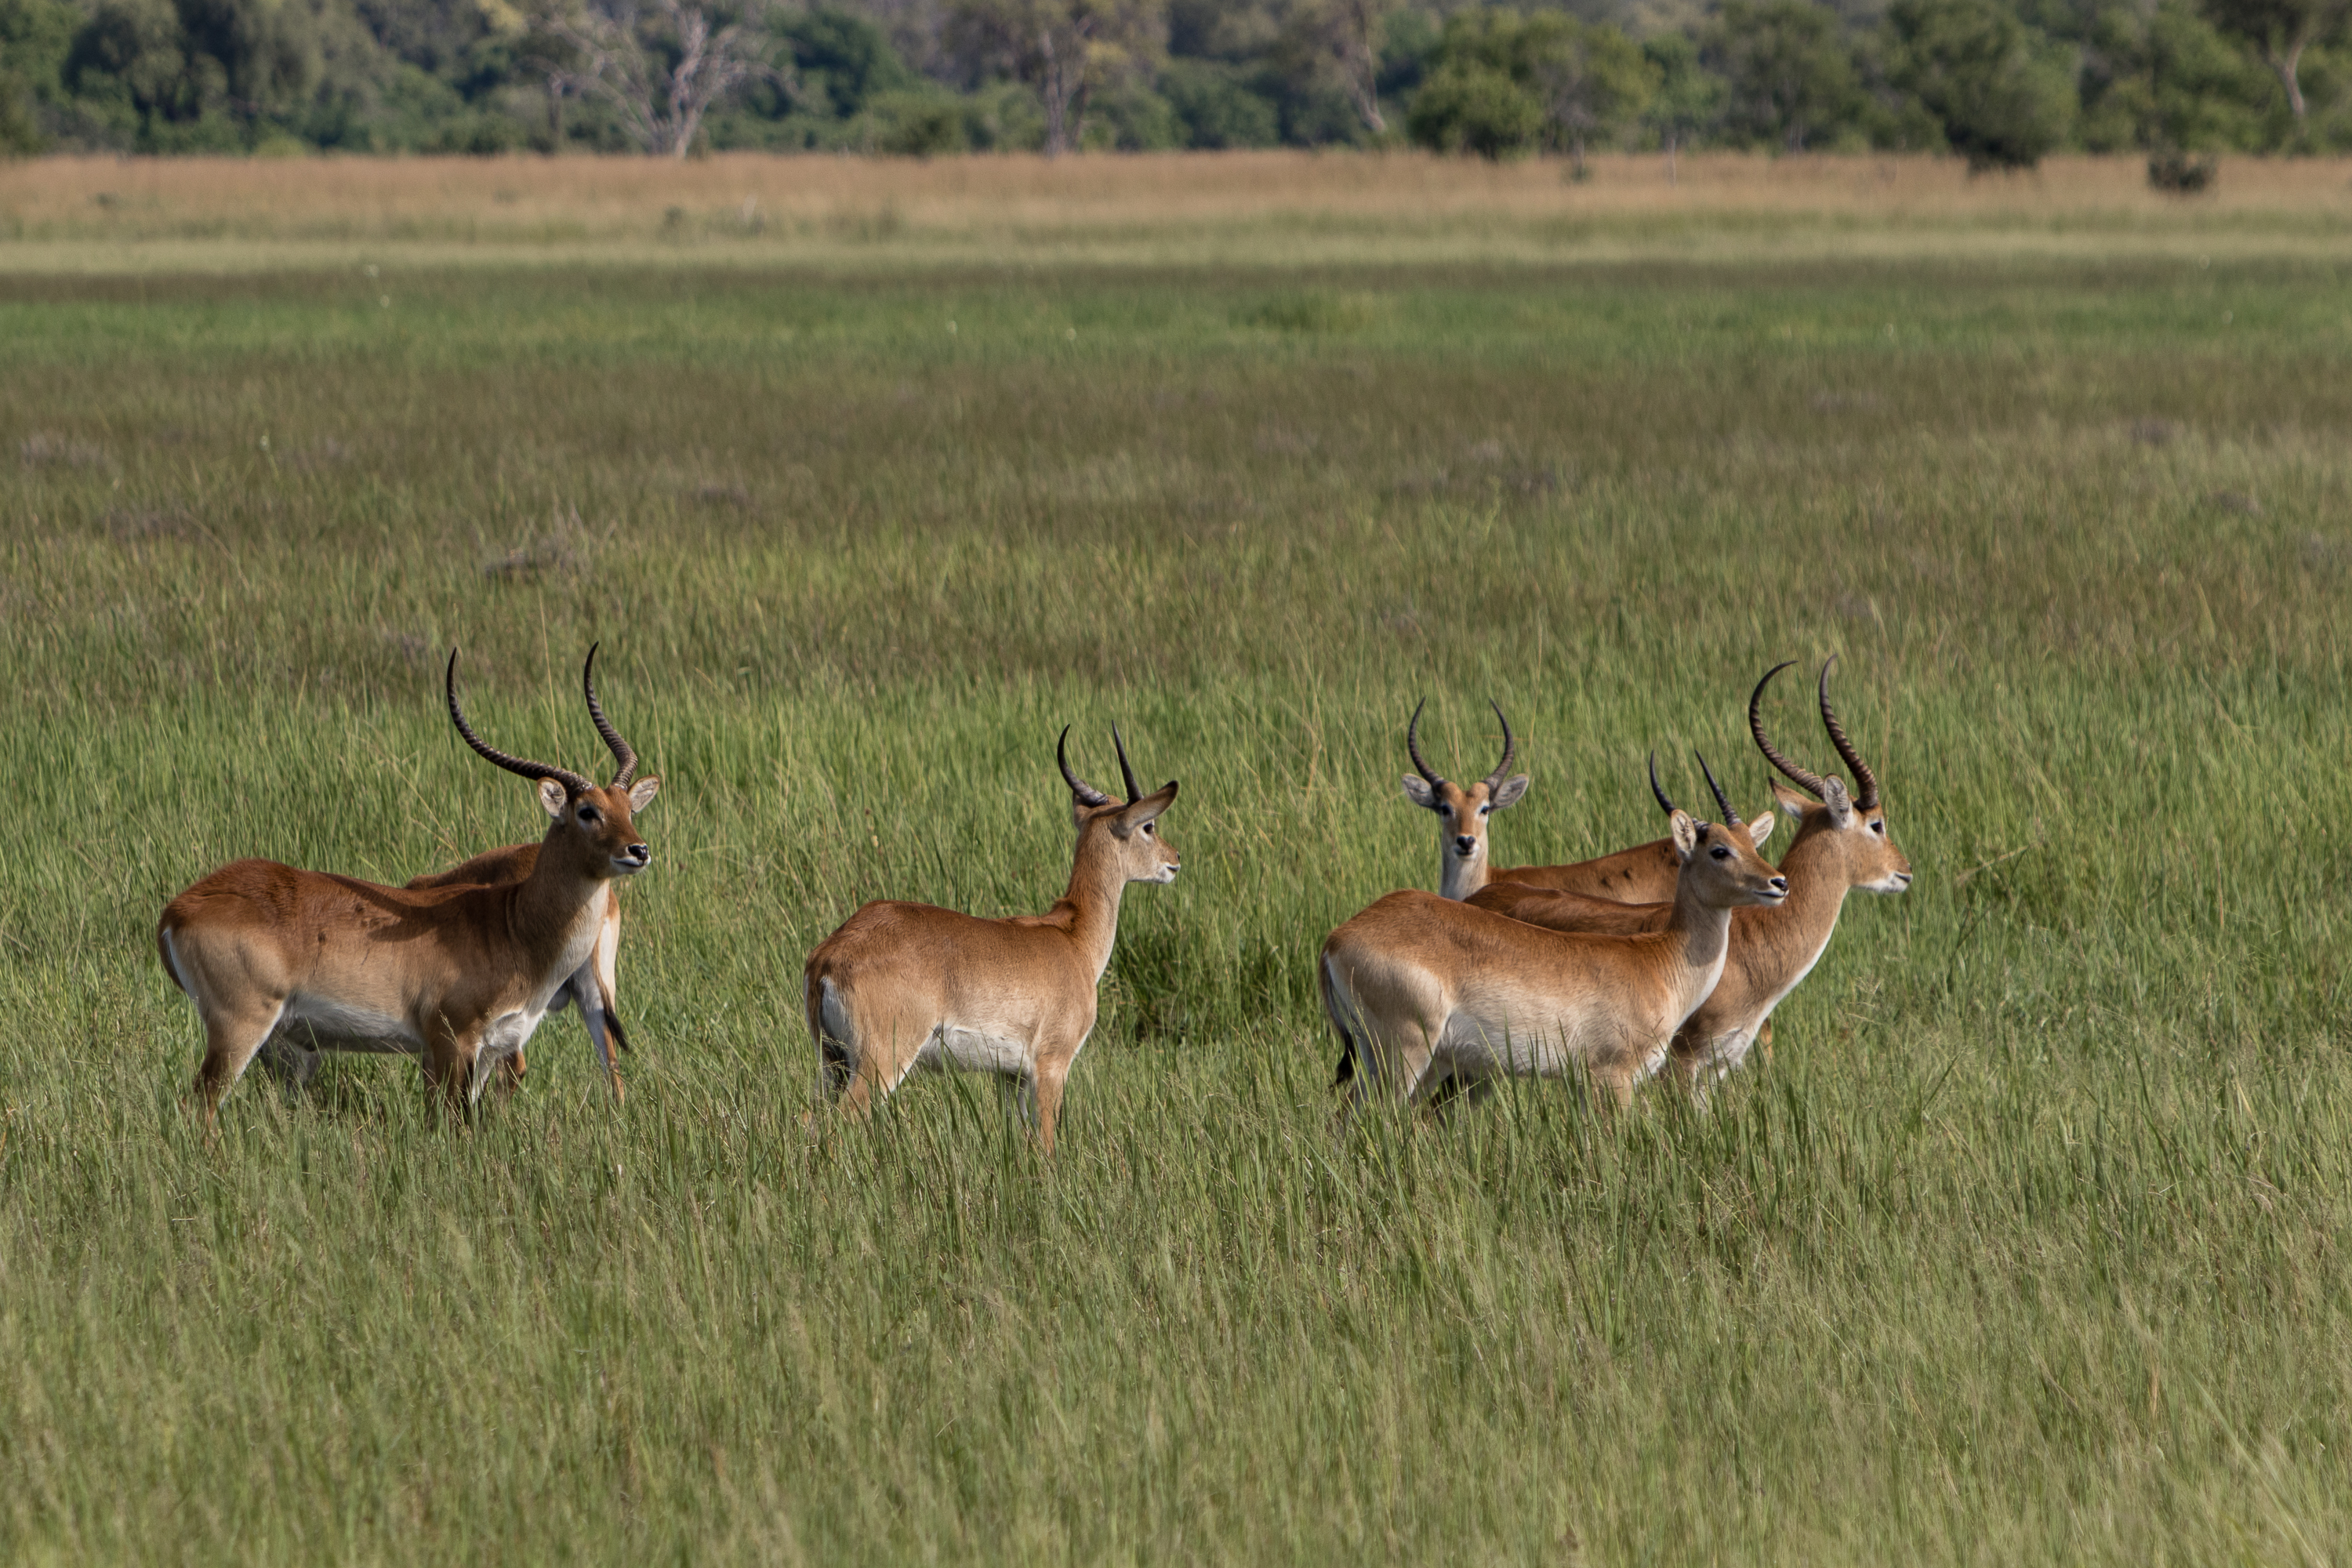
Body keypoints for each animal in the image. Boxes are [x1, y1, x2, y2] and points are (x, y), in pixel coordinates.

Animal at [159, 649, 660, 1115]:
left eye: (627, 808)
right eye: (587, 811)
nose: (638, 850)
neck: (512, 923)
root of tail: (178, 910)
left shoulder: (486, 1047)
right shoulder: (452, 1042)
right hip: (240, 1030)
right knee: (198, 1106)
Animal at [803, 727, 1179, 1154]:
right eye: (1149, 826)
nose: (1174, 860)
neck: (1073, 938)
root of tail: (827, 956)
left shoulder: (1010, 1076)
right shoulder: (1051, 1066)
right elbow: (1047, 1145)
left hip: (831, 1063)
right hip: (879, 1063)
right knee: (837, 1123)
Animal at [1322, 753, 1787, 1110]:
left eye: (1752, 844)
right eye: (1719, 850)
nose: (1778, 883)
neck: (1658, 960)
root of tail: (1336, 938)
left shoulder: (1583, 1084)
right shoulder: (1612, 1080)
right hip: (1405, 1056)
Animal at [1465, 659, 1910, 1089]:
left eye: (1754, 845)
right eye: (1877, 824)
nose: (1905, 871)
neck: (1753, 944)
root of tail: (1475, 898)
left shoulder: (1719, 1064)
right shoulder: (1682, 1062)